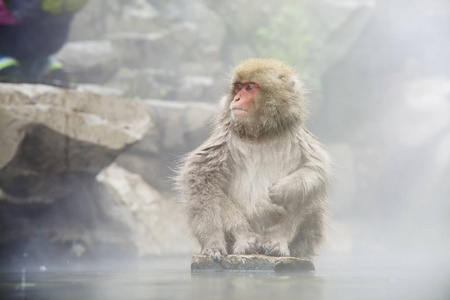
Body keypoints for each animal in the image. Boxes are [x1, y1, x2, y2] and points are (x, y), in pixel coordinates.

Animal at [177, 58, 330, 260]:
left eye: (250, 87)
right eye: (238, 87)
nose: (236, 98)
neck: (261, 133)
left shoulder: (298, 136)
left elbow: (316, 169)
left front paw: (282, 190)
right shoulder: (225, 136)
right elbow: (200, 178)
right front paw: (213, 242)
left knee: (312, 194)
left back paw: (278, 241)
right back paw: (245, 239)